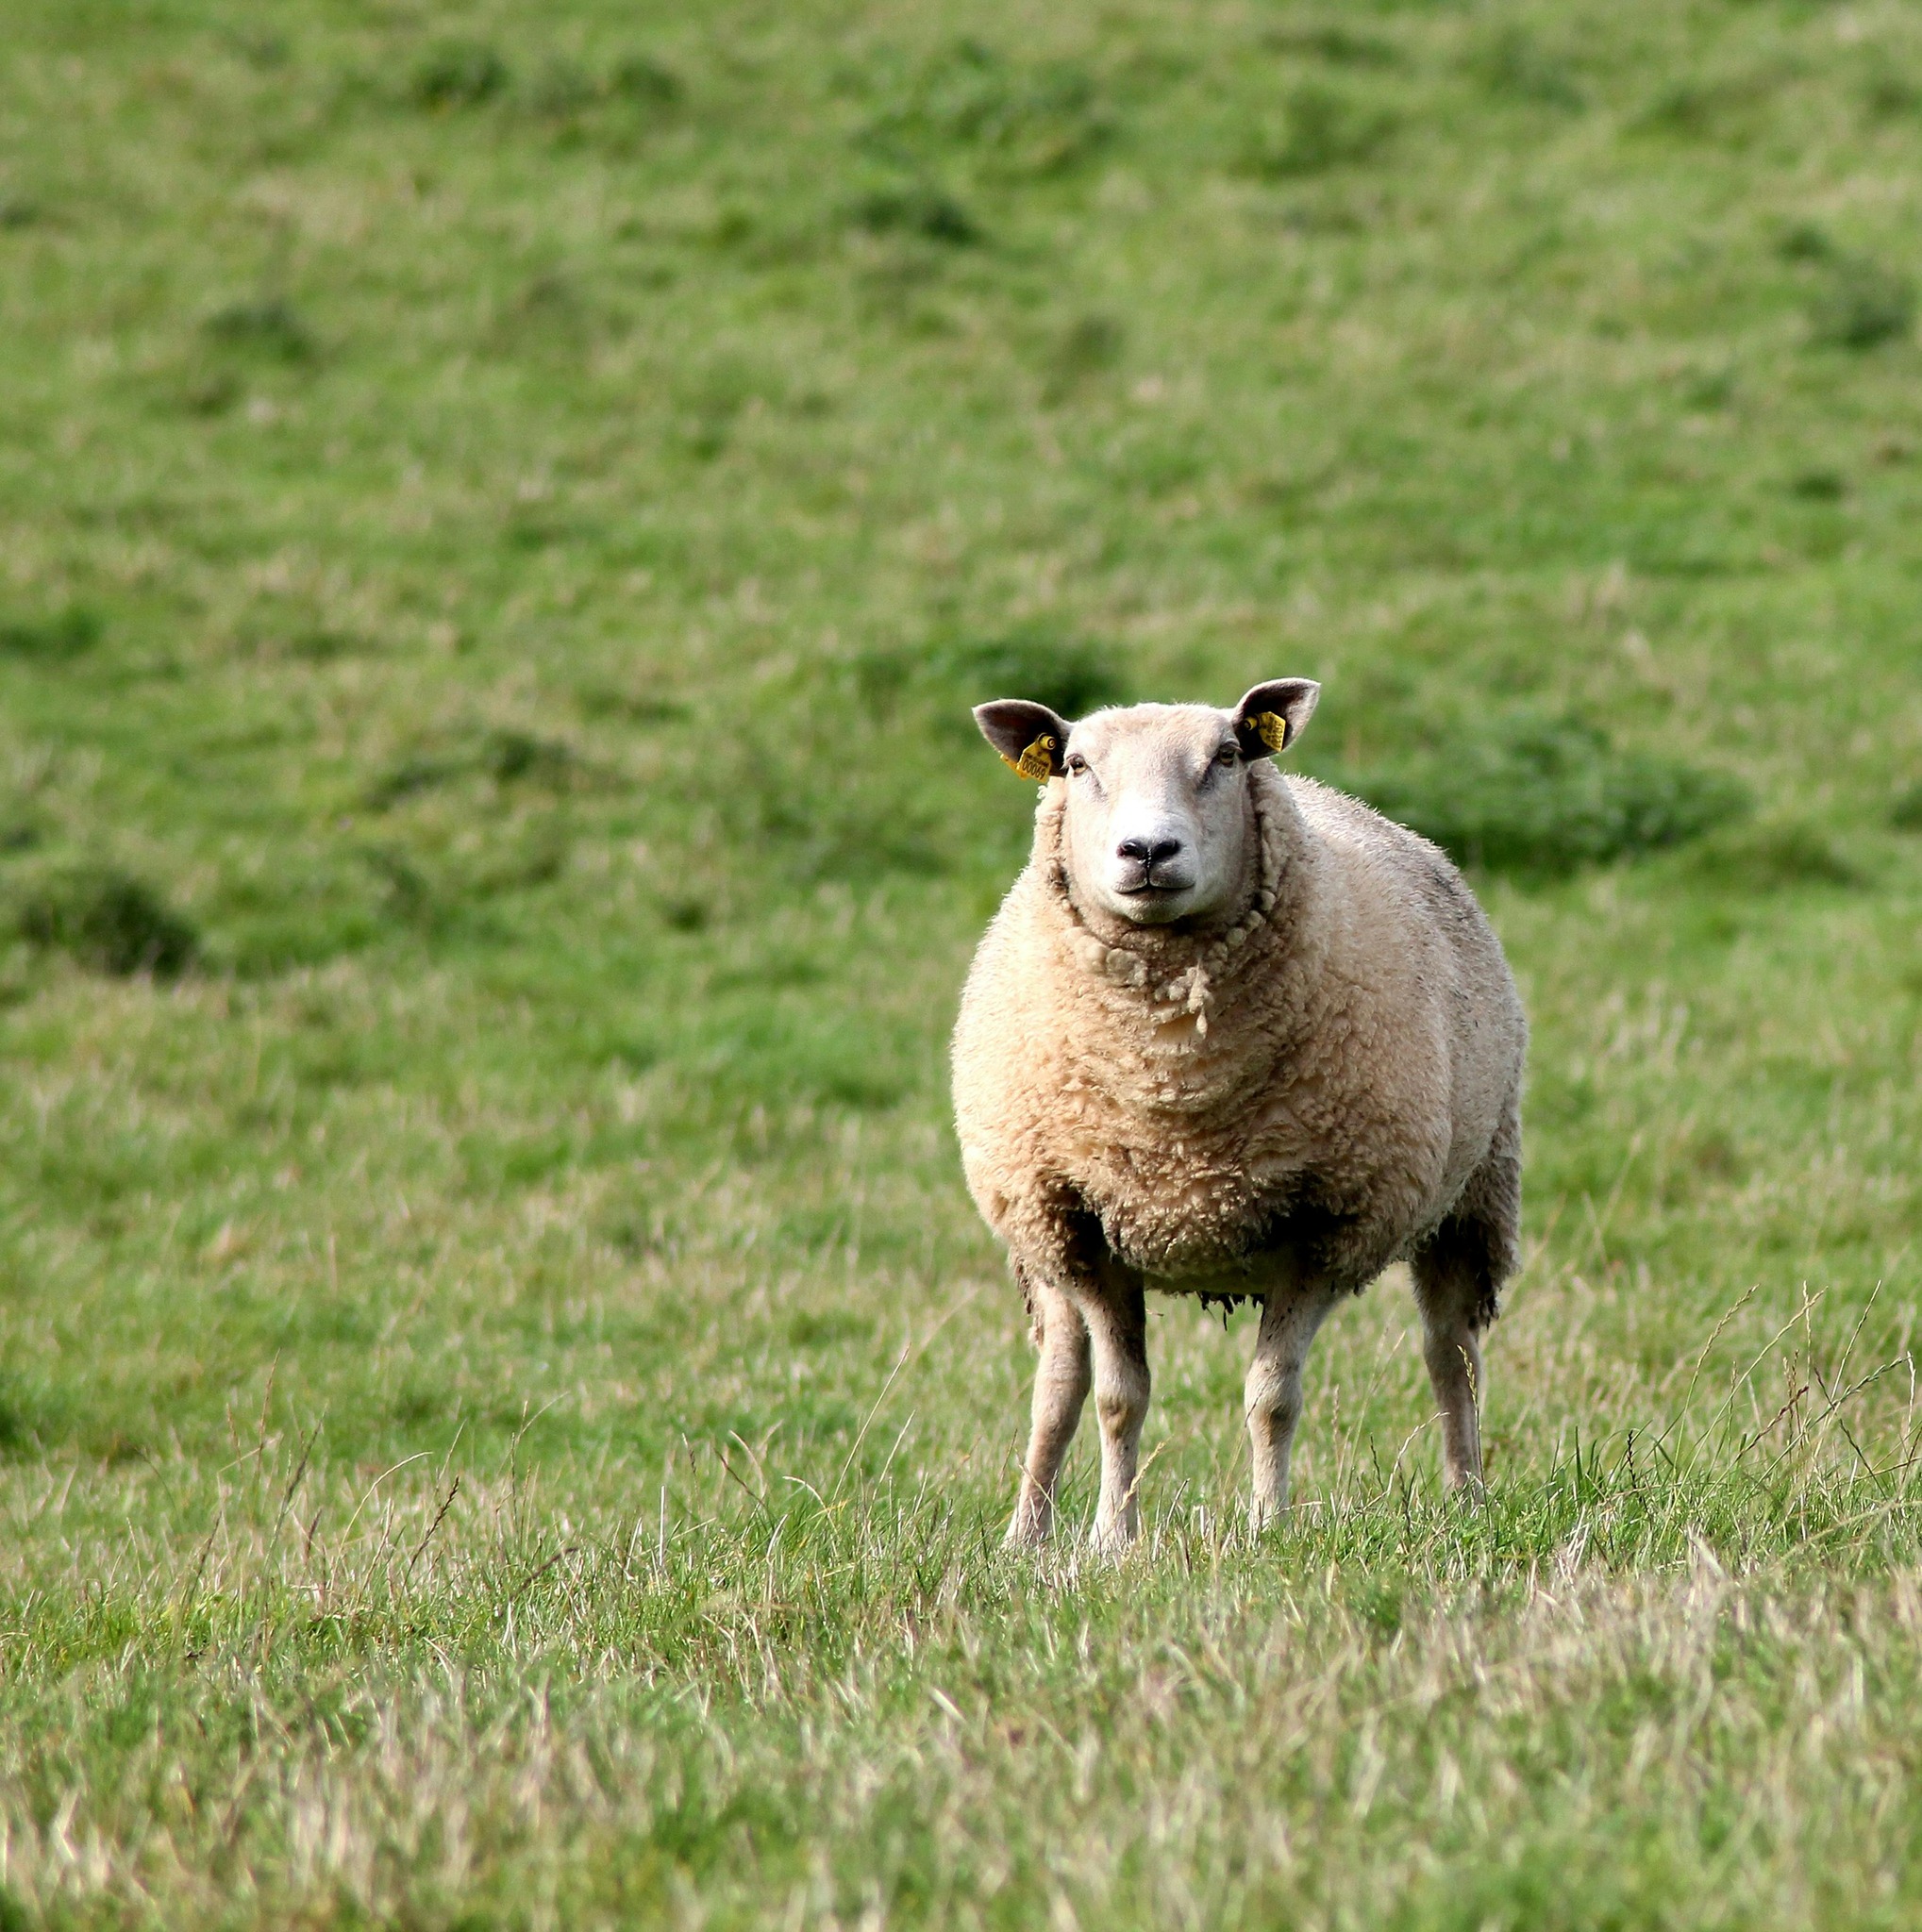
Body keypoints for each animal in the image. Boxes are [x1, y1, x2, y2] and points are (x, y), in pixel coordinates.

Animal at [951, 680, 1526, 1550]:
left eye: (1224, 757)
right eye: (1077, 765)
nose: (1147, 852)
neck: (1174, 1089)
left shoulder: (1326, 1226)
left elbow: (1271, 1398)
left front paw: (1267, 1529)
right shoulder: (1082, 1224)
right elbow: (1117, 1397)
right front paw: (1111, 1539)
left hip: (1470, 1196)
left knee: (1449, 1354)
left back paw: (1468, 1500)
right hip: (1037, 1230)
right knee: (1058, 1379)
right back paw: (1026, 1536)